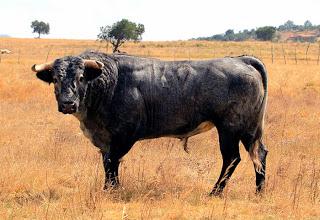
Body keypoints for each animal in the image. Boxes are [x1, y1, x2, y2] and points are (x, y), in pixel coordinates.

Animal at [32, 52, 268, 196]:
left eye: (81, 77)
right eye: (55, 79)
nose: (68, 104)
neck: (110, 83)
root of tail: (243, 60)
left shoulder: (123, 137)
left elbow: (112, 162)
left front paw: (112, 190)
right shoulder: (106, 141)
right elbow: (107, 163)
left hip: (230, 129)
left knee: (232, 158)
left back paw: (214, 192)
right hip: (249, 130)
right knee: (259, 154)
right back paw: (259, 191)